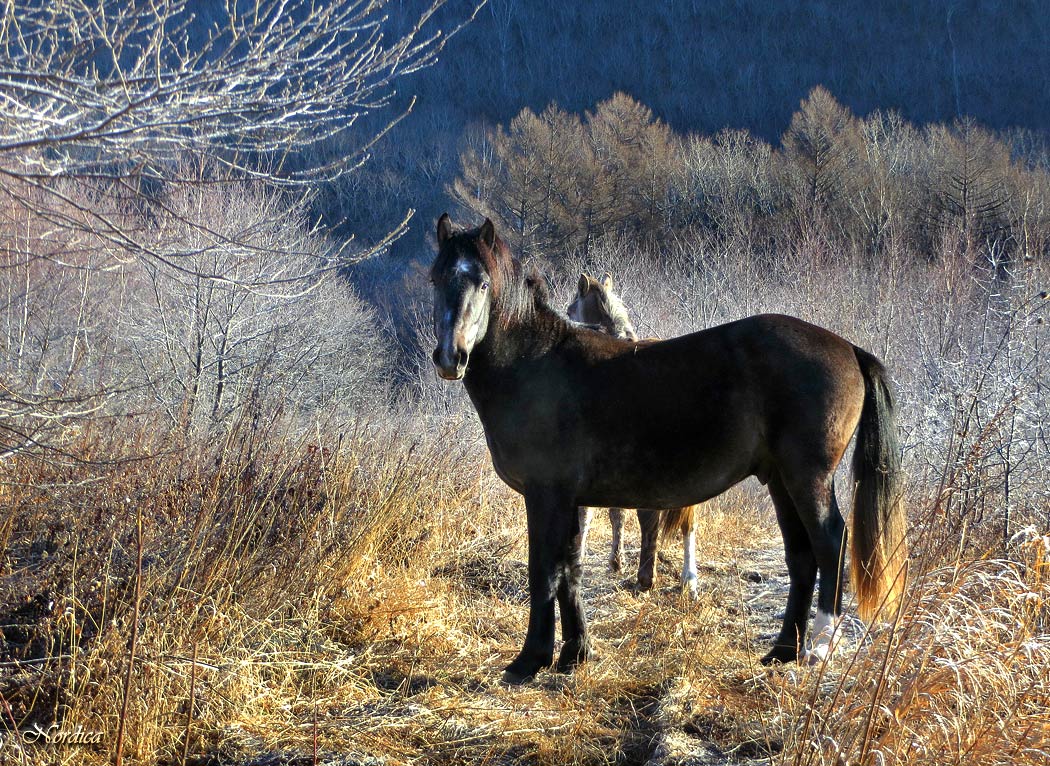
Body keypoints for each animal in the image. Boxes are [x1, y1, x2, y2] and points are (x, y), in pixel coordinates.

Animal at [567, 270, 697, 591]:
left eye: (571, 307)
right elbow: (616, 512)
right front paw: (616, 561)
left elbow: (589, 513)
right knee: (689, 519)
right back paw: (688, 580)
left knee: (650, 516)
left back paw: (646, 578)